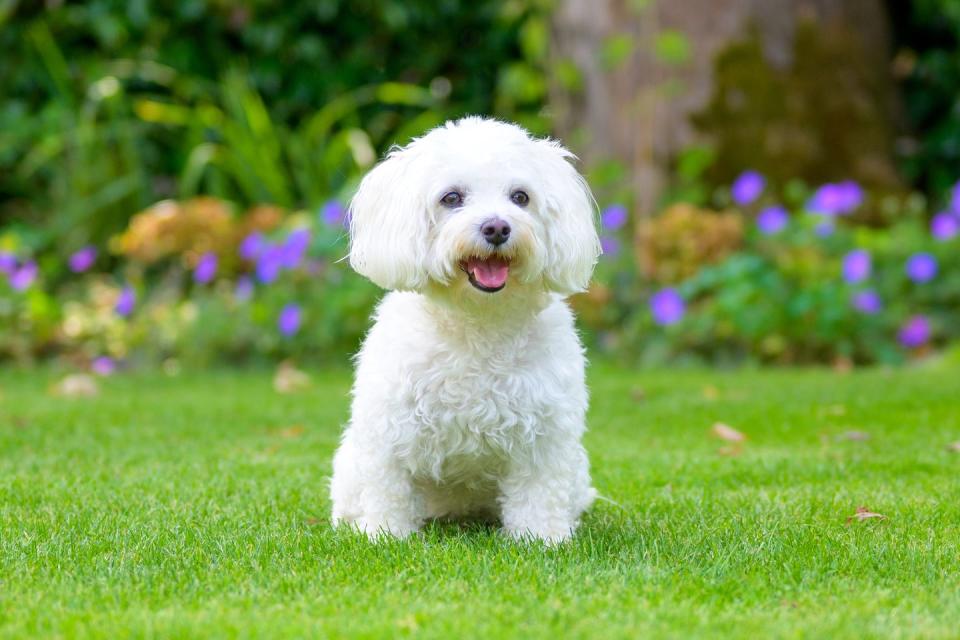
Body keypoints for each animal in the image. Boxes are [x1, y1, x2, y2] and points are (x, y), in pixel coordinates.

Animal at [330, 117, 600, 544]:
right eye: (451, 198)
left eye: (520, 197)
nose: (497, 227)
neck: (477, 321)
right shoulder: (389, 429)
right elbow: (390, 486)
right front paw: (387, 534)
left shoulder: (546, 434)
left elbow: (540, 491)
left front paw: (542, 537)